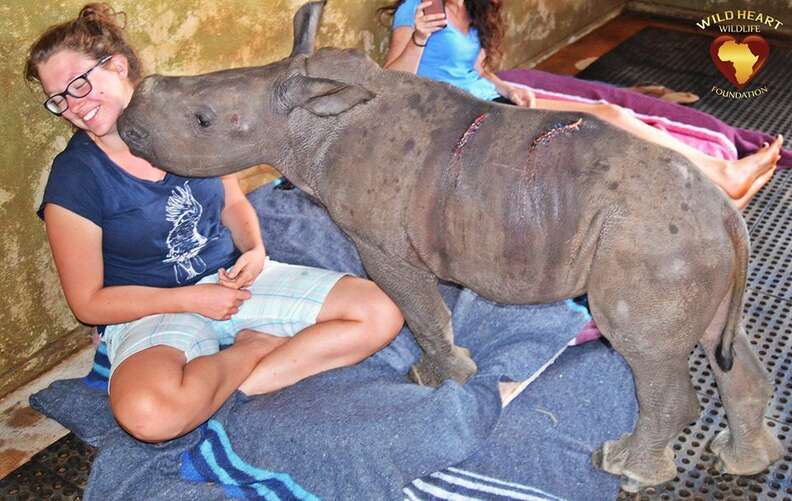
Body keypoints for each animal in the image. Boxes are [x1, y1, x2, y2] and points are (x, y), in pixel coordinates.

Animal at [117, 1, 782, 491]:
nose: (125, 124)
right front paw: (451, 369)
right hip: (687, 244)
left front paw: (437, 380)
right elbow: (435, 307)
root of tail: (729, 217)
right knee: (718, 342)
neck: (310, 120)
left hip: (650, 243)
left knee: (644, 349)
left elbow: (419, 311)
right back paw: (743, 460)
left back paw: (624, 469)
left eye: (203, 120)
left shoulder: (379, 242)